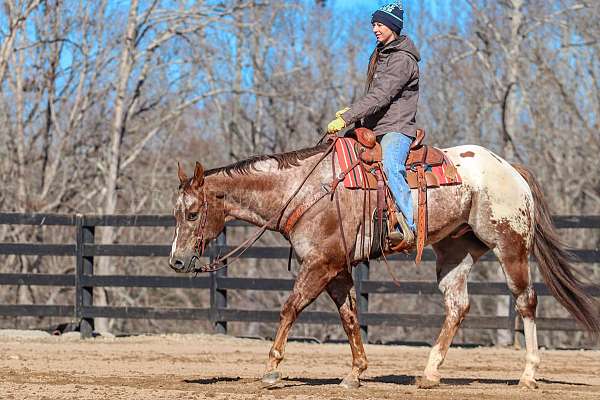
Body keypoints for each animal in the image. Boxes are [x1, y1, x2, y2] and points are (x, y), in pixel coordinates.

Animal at [169, 139, 600, 390]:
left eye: (192, 213)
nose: (176, 260)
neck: (306, 189)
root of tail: (510, 169)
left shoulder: (320, 264)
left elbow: (290, 307)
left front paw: (272, 369)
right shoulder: (337, 269)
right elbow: (349, 316)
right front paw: (356, 371)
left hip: (511, 246)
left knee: (526, 302)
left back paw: (528, 374)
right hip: (455, 252)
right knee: (457, 306)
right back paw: (429, 374)